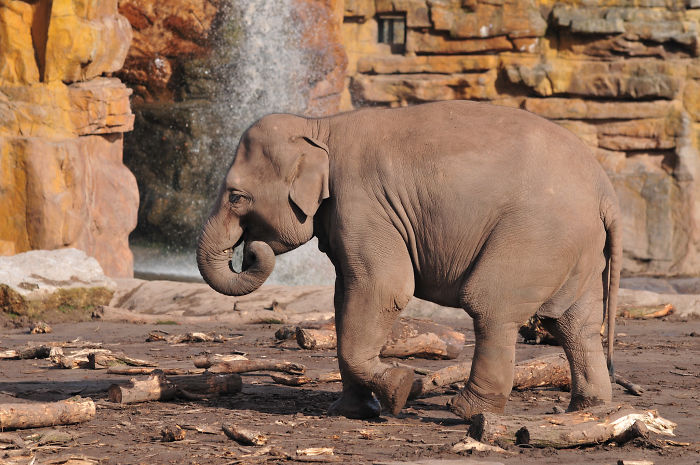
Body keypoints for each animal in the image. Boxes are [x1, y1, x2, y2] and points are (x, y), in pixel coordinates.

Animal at [197, 100, 621, 420]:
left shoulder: (363, 203)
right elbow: (345, 297)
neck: (320, 126)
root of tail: (605, 191)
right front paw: (351, 410)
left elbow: (385, 289)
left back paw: (467, 410)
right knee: (575, 324)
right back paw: (588, 410)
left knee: (491, 307)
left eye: (236, 197)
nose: (250, 249)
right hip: (577, 250)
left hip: (538, 234)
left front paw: (399, 390)